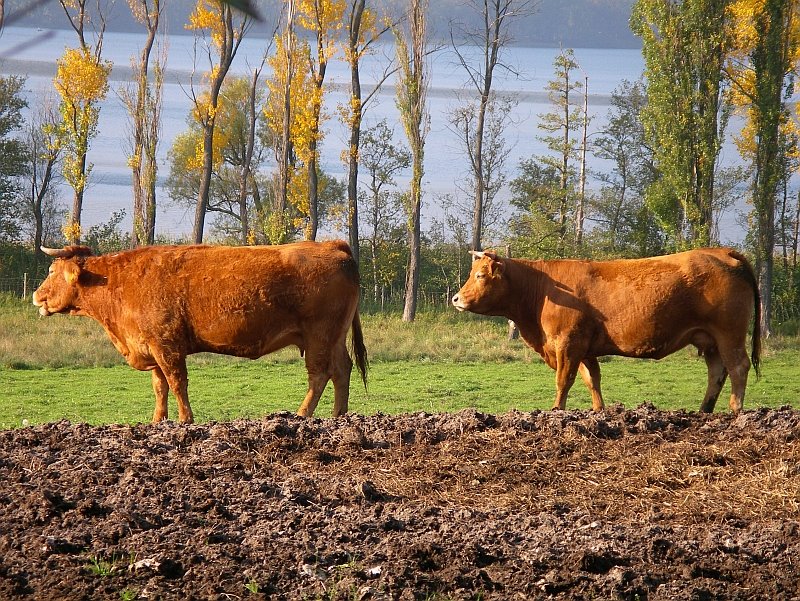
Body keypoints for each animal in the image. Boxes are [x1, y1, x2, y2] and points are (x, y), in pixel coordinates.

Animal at [33, 240, 368, 423]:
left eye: (51, 272)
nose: (37, 296)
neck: (117, 281)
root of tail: (331, 244)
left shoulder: (167, 347)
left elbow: (177, 383)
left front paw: (185, 420)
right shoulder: (153, 347)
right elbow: (160, 387)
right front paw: (158, 421)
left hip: (319, 336)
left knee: (319, 374)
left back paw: (301, 415)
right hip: (334, 337)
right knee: (342, 370)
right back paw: (339, 416)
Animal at [452, 248, 761, 413]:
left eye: (479, 275)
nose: (456, 299)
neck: (542, 290)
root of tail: (721, 251)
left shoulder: (568, 344)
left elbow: (563, 381)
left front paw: (556, 411)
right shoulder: (584, 349)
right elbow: (593, 380)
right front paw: (599, 411)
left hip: (729, 334)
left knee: (738, 367)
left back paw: (736, 410)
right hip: (710, 340)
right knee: (717, 372)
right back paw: (704, 410)